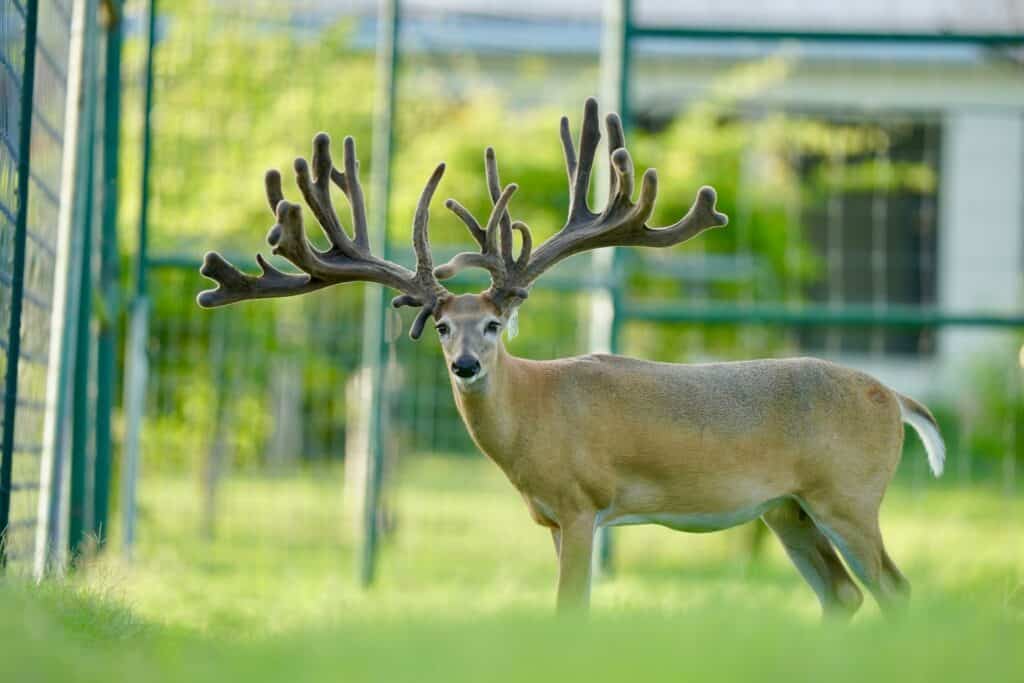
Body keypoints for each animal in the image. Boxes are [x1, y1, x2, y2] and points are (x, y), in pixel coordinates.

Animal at [198, 98, 945, 618]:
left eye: (494, 324)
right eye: (441, 327)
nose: (466, 366)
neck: (533, 414)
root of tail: (897, 398)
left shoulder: (584, 503)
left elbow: (570, 611)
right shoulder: (552, 517)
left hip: (847, 494)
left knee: (897, 588)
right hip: (786, 508)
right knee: (845, 595)